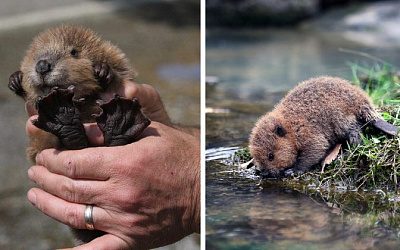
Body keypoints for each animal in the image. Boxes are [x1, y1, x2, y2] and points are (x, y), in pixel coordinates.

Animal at [8, 24, 152, 244]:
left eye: (74, 52)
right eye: (34, 54)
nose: (42, 65)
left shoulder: (117, 58)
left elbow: (121, 70)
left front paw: (103, 70)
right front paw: (16, 79)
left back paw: (119, 119)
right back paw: (64, 116)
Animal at [250, 75, 396, 178]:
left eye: (271, 156)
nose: (264, 173)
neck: (290, 123)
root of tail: (365, 105)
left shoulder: (306, 131)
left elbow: (316, 149)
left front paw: (292, 171)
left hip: (341, 118)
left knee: (356, 136)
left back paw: (344, 154)